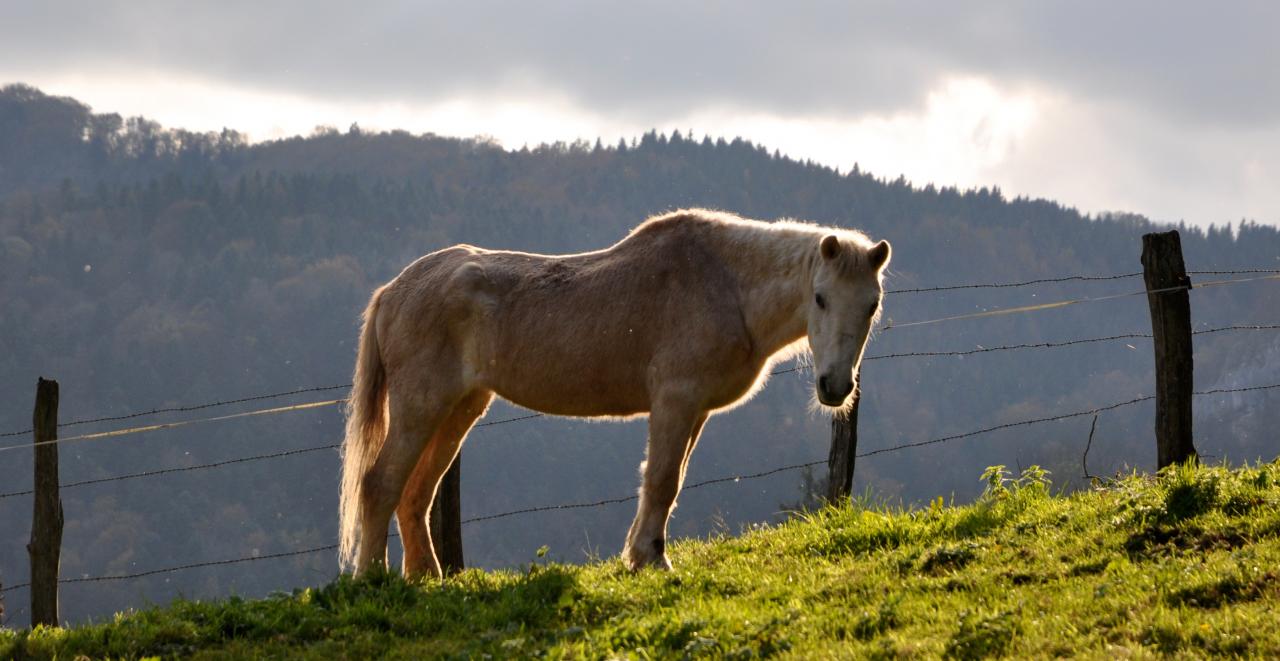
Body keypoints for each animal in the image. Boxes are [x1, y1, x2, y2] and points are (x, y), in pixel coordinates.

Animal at [337, 208, 890, 576]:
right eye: (820, 298)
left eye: (871, 304)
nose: (835, 387)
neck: (727, 286)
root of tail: (395, 289)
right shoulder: (675, 401)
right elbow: (661, 480)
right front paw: (652, 560)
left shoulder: (695, 411)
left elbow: (669, 481)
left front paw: (642, 555)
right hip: (420, 406)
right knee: (380, 484)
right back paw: (372, 580)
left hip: (458, 409)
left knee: (415, 493)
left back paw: (425, 578)